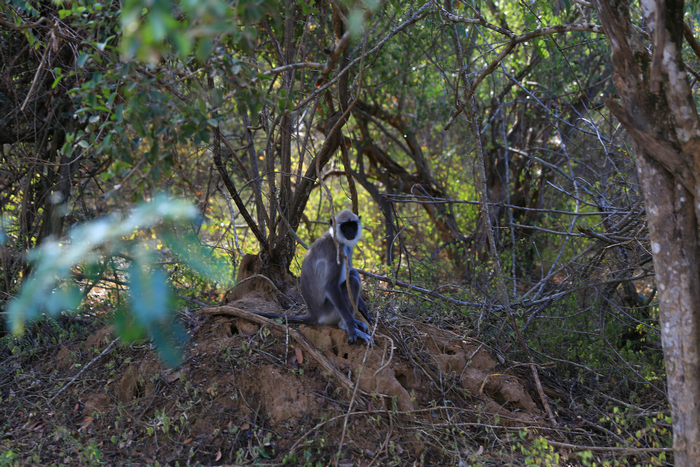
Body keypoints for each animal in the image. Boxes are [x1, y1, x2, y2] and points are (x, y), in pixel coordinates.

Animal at [252, 208, 372, 344]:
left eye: (353, 225)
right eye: (345, 226)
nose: (351, 231)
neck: (335, 239)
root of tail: (314, 313)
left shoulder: (347, 248)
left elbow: (350, 271)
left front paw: (363, 309)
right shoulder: (334, 251)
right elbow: (330, 286)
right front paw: (351, 326)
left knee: (353, 274)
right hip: (329, 313)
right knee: (353, 281)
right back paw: (346, 324)